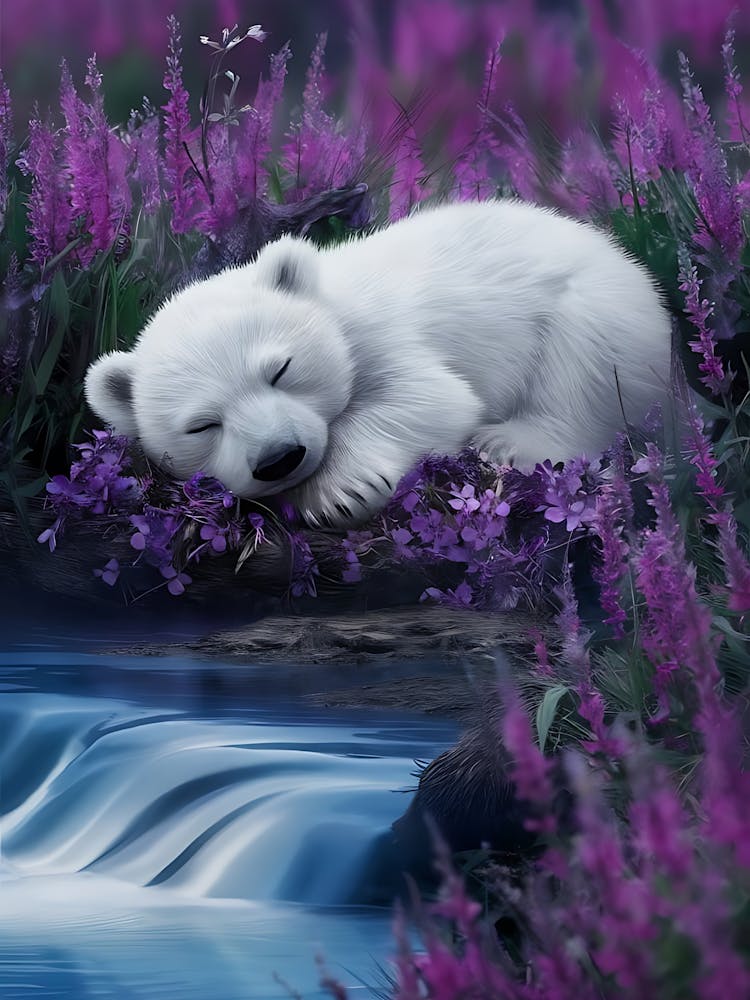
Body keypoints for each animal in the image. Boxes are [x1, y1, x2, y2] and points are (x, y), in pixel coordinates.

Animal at [84, 200, 672, 528]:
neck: (333, 302)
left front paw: (339, 493)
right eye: (202, 425)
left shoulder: (383, 334)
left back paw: (513, 441)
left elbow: (430, 398)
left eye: (281, 369)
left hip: (598, 312)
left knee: (582, 370)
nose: (280, 457)